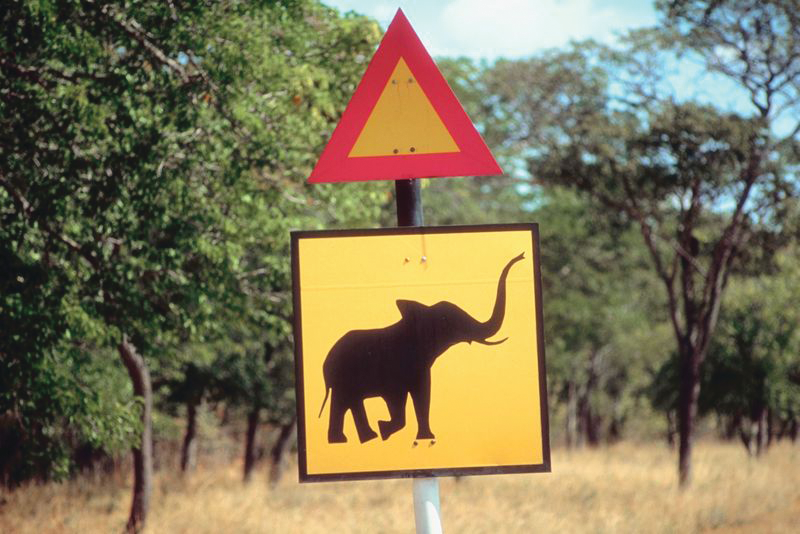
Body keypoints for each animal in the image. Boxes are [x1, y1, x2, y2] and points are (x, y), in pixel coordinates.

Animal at [317, 252, 525, 444]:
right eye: (446, 321)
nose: (521, 256)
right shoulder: (397, 371)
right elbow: (402, 399)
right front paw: (387, 430)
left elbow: (422, 394)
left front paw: (421, 437)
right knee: (345, 402)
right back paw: (359, 438)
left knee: (347, 403)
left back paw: (357, 439)